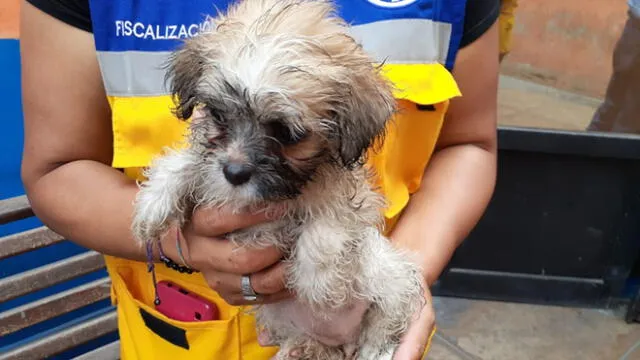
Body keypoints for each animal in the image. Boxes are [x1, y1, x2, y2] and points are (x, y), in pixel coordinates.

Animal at [131, 1, 424, 358]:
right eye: (218, 115)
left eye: (286, 133)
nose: (234, 173)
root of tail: (343, 342)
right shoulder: (210, 164)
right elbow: (187, 162)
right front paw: (153, 204)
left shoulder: (354, 198)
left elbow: (329, 223)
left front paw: (318, 282)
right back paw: (299, 348)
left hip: (393, 282)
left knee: (383, 329)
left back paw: (375, 350)